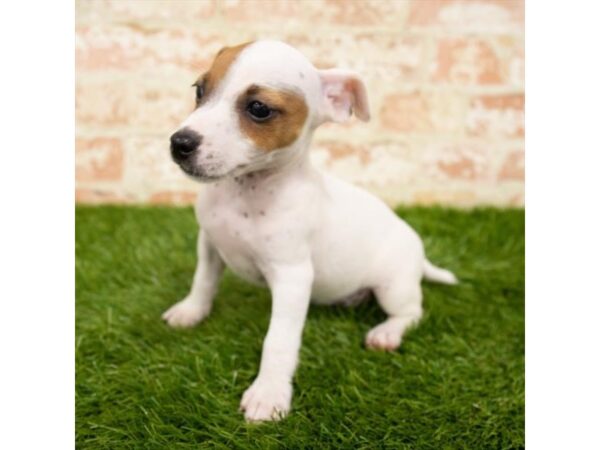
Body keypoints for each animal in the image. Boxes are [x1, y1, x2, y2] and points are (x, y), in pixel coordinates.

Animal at [162, 39, 458, 422]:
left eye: (258, 109)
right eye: (199, 90)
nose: (180, 143)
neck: (245, 191)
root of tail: (419, 256)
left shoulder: (293, 279)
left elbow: (278, 340)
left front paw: (269, 392)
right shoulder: (210, 245)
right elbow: (203, 282)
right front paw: (191, 310)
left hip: (394, 286)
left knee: (412, 312)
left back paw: (387, 332)